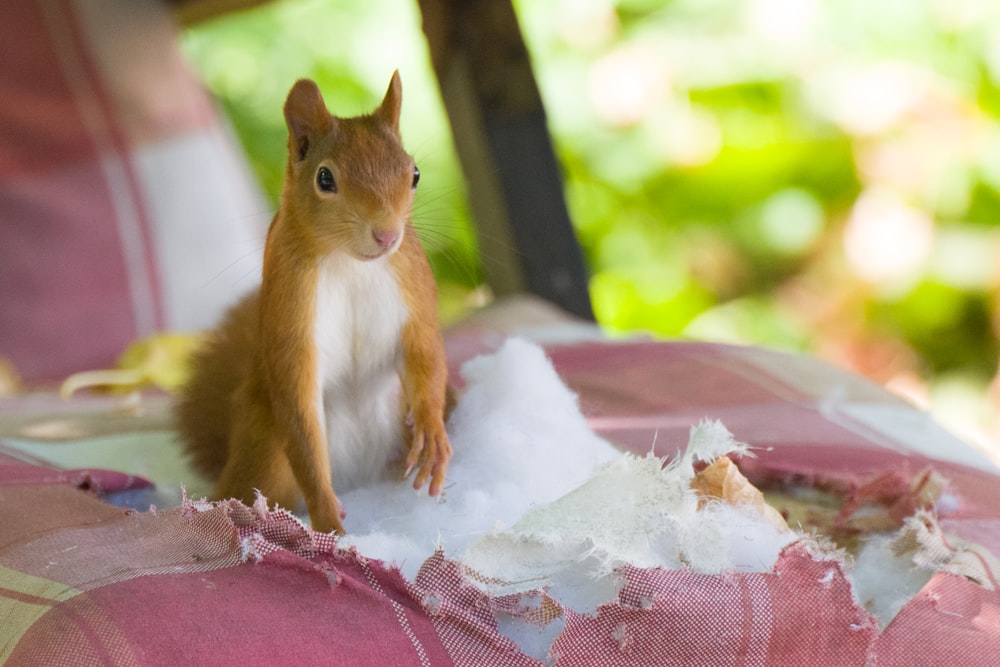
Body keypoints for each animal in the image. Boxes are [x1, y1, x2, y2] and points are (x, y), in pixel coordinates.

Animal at [175, 72, 450, 536]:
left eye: (413, 173)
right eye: (325, 179)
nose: (387, 235)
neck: (350, 263)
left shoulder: (413, 294)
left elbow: (425, 355)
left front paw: (432, 429)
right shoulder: (291, 317)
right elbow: (301, 415)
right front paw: (329, 524)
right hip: (266, 453)